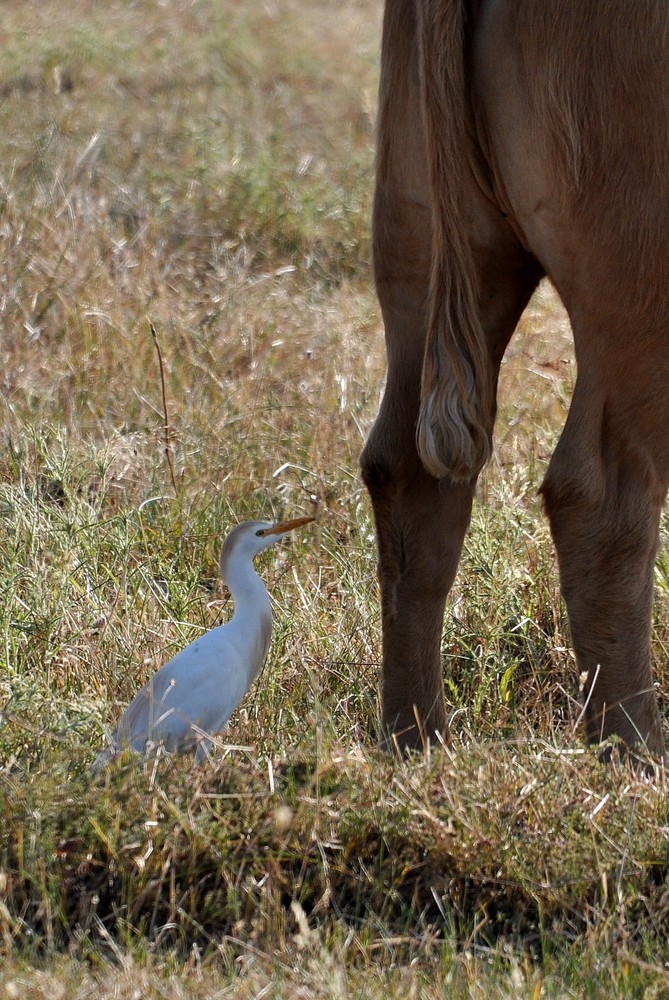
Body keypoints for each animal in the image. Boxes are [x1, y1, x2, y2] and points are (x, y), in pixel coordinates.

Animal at [360, 0, 668, 752]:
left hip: (424, 247)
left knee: (406, 474)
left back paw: (416, 739)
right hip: (639, 279)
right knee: (600, 498)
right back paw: (637, 752)